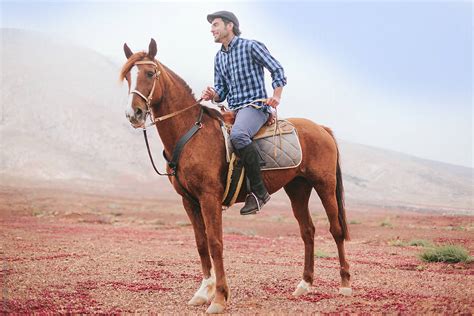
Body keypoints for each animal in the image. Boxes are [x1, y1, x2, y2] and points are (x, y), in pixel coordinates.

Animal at [121, 38, 352, 312]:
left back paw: (345, 284)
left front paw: (219, 297)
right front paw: (203, 291)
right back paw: (304, 284)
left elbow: (215, 243)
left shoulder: (209, 198)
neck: (190, 133)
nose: (133, 114)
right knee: (308, 231)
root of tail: (322, 129)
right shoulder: (189, 200)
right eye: (128, 77)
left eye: (149, 73)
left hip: (324, 185)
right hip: (298, 188)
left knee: (336, 230)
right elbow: (201, 244)